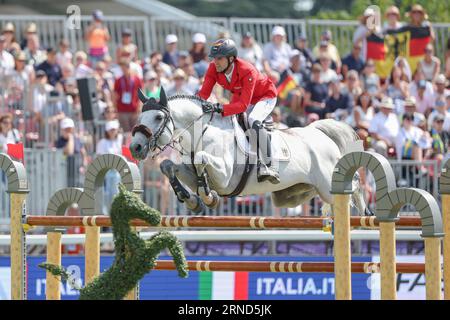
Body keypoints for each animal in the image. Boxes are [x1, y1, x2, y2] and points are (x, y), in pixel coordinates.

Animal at [130, 88, 370, 215]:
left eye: (158, 117)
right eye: (140, 117)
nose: (135, 147)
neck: (201, 135)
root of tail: (320, 133)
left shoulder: (225, 177)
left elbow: (201, 160)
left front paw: (208, 197)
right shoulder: (188, 170)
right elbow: (168, 166)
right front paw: (190, 200)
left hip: (327, 184)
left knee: (355, 183)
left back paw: (363, 211)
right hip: (299, 192)